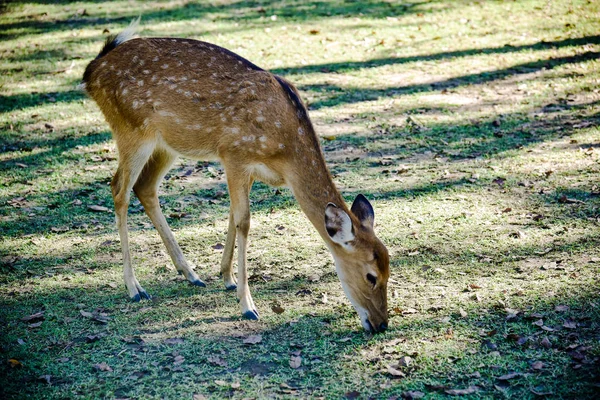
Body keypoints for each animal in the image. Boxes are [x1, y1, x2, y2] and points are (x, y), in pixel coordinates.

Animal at [83, 19, 390, 332]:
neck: (285, 153)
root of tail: (92, 70)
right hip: (131, 130)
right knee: (118, 188)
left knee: (145, 187)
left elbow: (232, 214)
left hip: (167, 143)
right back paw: (135, 287)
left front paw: (227, 278)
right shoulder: (234, 153)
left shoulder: (248, 168)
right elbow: (244, 221)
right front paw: (247, 306)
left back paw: (190, 274)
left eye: (389, 268)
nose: (381, 324)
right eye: (371, 275)